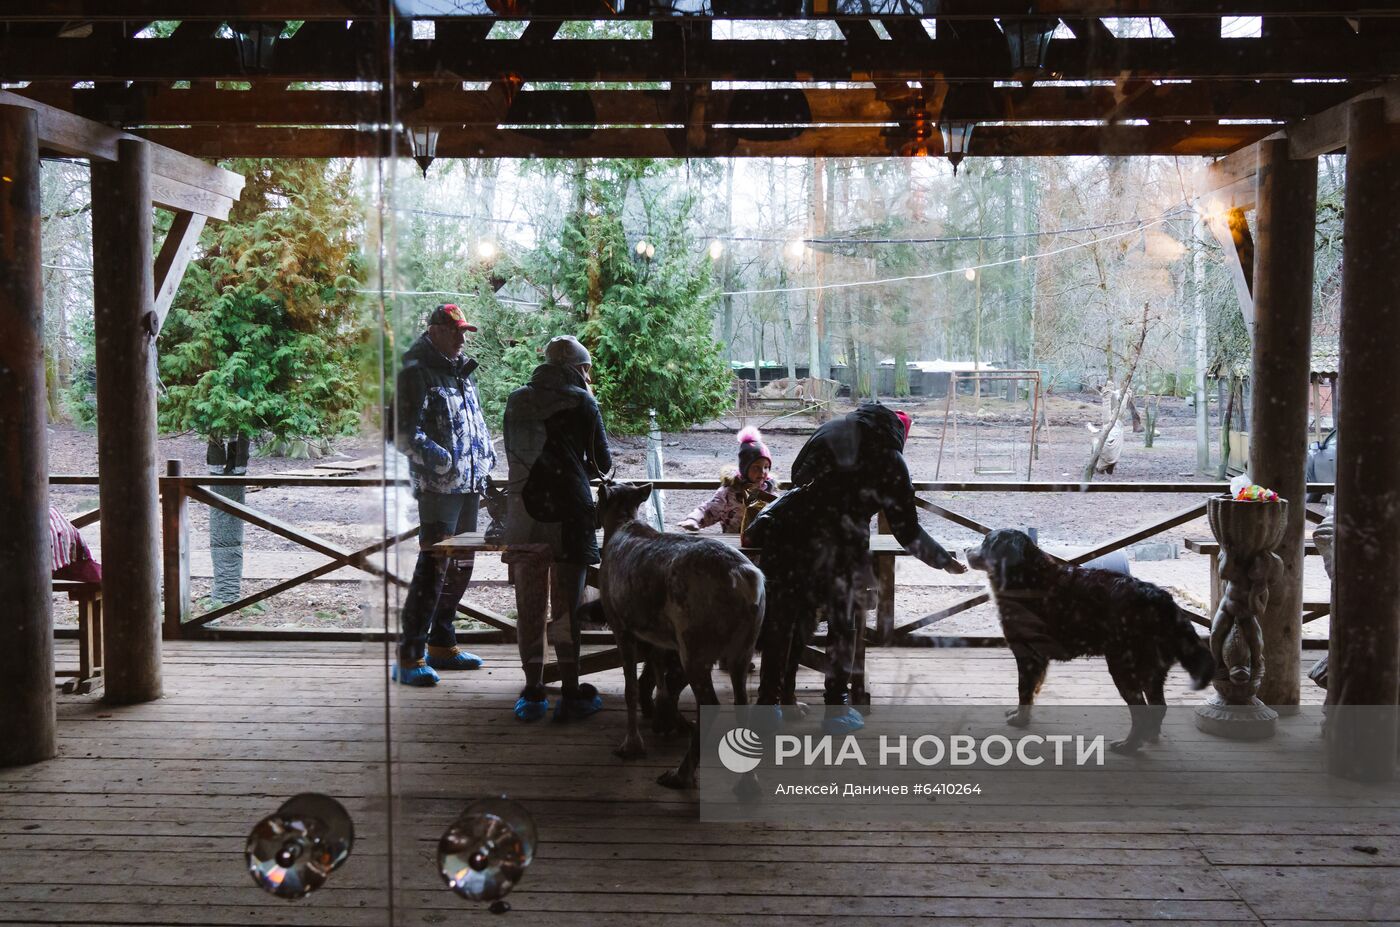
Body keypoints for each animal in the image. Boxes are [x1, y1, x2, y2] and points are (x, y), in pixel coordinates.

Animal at [968, 529, 1209, 756]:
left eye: (986, 542)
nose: (965, 550)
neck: (1028, 575)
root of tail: (1163, 601)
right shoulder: (1038, 658)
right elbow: (1032, 689)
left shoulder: (1027, 653)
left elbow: (1023, 690)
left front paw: (1020, 719)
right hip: (1152, 672)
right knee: (1158, 708)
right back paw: (1148, 737)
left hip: (1124, 668)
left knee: (1141, 714)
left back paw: (1128, 746)